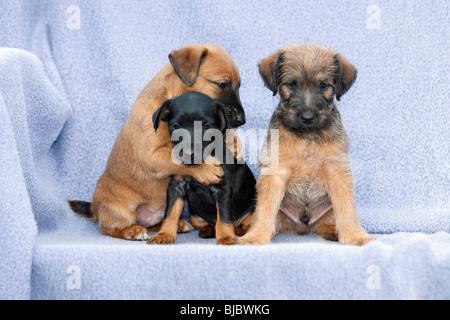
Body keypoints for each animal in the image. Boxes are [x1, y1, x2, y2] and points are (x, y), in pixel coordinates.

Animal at [69, 43, 246, 241]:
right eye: (222, 84)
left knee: (157, 221)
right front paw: (206, 169)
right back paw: (133, 231)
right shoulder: (150, 155)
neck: (167, 97)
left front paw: (235, 142)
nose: (242, 120)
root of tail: (95, 208)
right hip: (122, 212)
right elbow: (177, 160)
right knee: (108, 228)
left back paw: (177, 225)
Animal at [149, 91, 256, 244]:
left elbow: (224, 217)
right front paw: (164, 234)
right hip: (195, 216)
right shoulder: (176, 186)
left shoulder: (222, 189)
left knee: (244, 225)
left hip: (252, 213)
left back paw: (237, 231)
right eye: (176, 126)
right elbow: (170, 213)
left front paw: (226, 237)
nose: (189, 154)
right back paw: (208, 229)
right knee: (208, 223)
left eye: (206, 126)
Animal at [239, 43, 372, 246]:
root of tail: (304, 224)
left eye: (324, 85)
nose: (307, 117)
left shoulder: (338, 172)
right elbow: (265, 210)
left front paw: (355, 235)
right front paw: (255, 236)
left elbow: (347, 209)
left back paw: (332, 231)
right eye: (291, 84)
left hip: (327, 209)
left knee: (326, 221)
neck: (307, 137)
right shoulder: (275, 174)